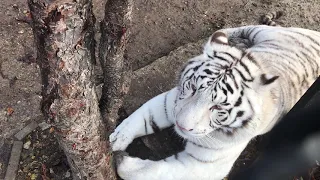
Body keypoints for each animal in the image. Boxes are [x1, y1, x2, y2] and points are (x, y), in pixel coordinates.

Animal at [109, 24, 320, 179]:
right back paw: (226, 37)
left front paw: (121, 159)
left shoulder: (204, 165)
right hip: (263, 31)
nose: (181, 126)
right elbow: (142, 118)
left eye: (218, 107)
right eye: (193, 88)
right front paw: (116, 139)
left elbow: (153, 172)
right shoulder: (172, 102)